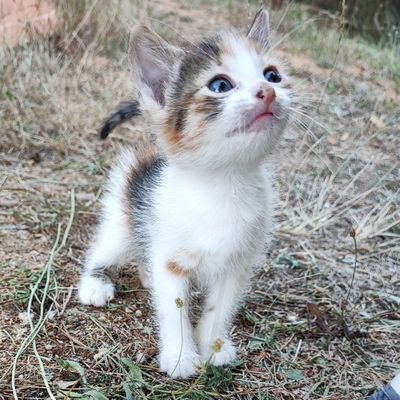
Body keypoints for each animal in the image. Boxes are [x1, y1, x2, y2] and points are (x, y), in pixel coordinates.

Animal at [78, 8, 292, 378]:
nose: (267, 91)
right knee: (105, 248)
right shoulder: (171, 260)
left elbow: (220, 308)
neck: (223, 184)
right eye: (220, 85)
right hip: (123, 217)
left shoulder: (237, 263)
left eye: (273, 74)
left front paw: (214, 348)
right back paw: (95, 283)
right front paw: (180, 357)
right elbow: (173, 308)